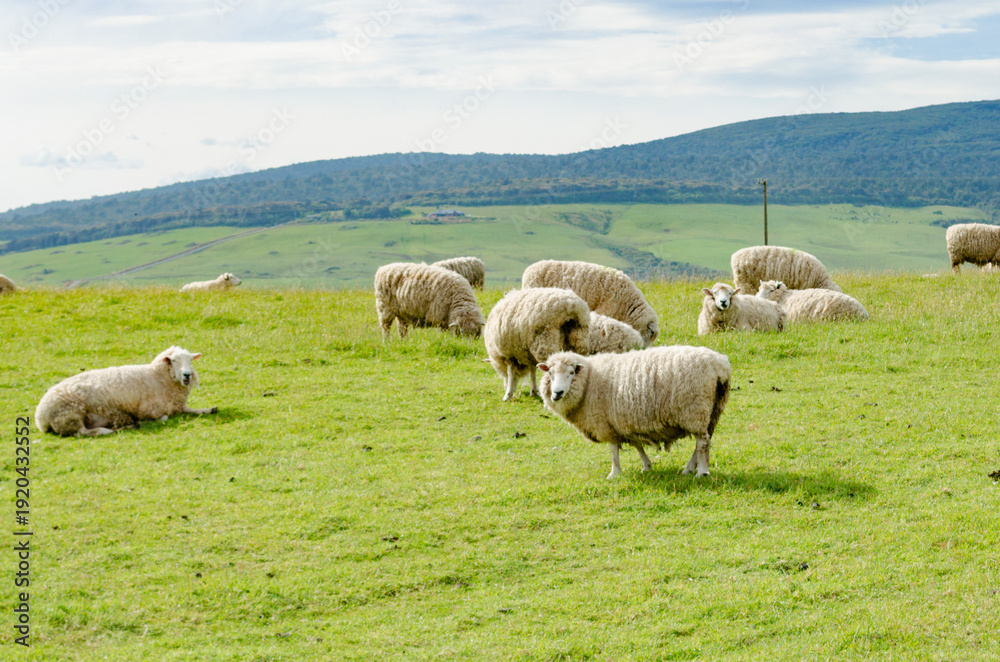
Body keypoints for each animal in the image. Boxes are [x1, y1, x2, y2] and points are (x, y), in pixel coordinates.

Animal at [35, 346, 217, 437]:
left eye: (190, 360)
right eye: (173, 360)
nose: (187, 375)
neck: (158, 377)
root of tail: (40, 418)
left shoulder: (176, 406)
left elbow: (192, 410)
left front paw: (209, 409)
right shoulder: (148, 410)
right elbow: (163, 418)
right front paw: (143, 422)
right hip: (70, 415)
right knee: (82, 433)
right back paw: (110, 430)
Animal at [538, 346, 731, 479]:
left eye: (571, 372)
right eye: (550, 373)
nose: (557, 393)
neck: (589, 380)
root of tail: (719, 364)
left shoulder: (606, 423)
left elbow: (614, 450)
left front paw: (614, 473)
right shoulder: (625, 422)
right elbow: (637, 444)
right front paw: (646, 466)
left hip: (695, 410)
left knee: (702, 442)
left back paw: (702, 472)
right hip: (713, 410)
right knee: (705, 440)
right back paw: (689, 469)